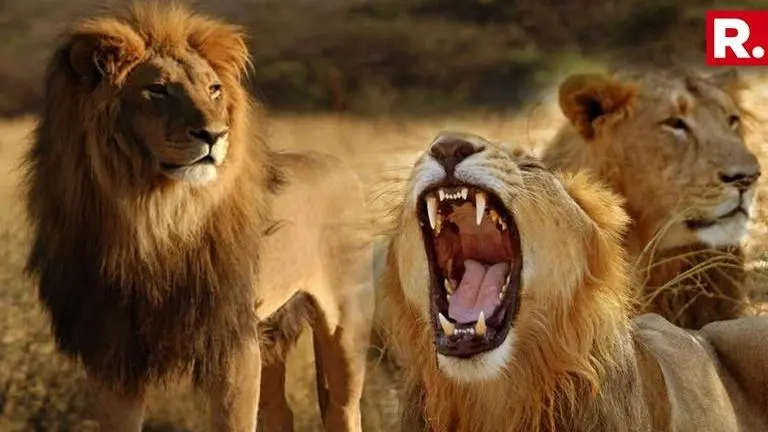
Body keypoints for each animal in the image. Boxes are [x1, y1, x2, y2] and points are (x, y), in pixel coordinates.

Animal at [20, 3, 373, 431]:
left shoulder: (232, 342)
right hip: (270, 332)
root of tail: (342, 165)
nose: (215, 135)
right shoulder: (112, 353)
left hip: (344, 330)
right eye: (157, 90)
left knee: (342, 407)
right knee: (280, 411)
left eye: (213, 89)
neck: (154, 216)